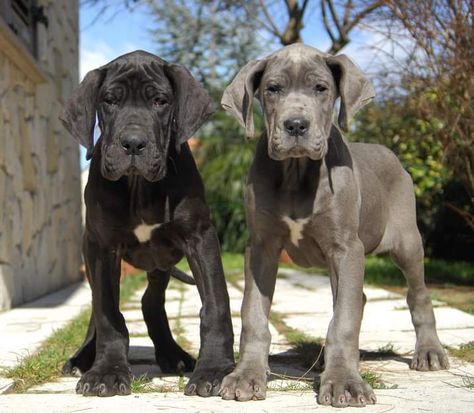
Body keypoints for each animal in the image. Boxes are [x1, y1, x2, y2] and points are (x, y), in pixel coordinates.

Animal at [60, 50, 234, 396]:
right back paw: (82, 358)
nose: (132, 143)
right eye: (109, 101)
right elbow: (107, 313)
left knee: (150, 302)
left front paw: (214, 369)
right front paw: (106, 371)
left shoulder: (200, 237)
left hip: (161, 261)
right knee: (100, 304)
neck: (138, 186)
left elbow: (216, 304)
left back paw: (173, 354)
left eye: (160, 101)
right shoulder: (102, 248)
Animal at [218, 42, 448, 406]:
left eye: (321, 88)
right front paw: (247, 375)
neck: (297, 172)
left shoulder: (345, 247)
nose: (296, 125)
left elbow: (344, 321)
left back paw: (428, 352)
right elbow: (253, 313)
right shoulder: (261, 247)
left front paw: (343, 382)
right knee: (359, 299)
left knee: (418, 295)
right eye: (273, 89)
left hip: (407, 243)